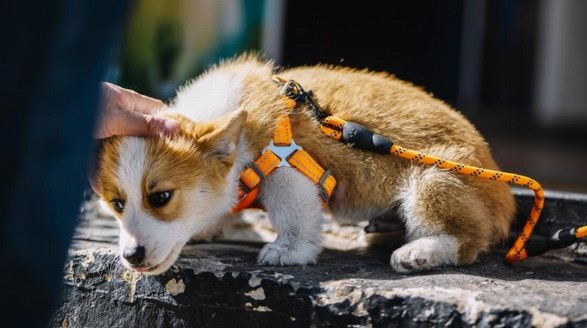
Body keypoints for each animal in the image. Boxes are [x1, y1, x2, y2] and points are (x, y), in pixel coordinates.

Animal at [90, 55, 516, 276]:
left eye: (160, 197)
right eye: (117, 204)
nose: (131, 258)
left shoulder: (285, 168)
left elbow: (293, 215)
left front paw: (290, 251)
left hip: (434, 178)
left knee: (468, 240)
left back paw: (420, 251)